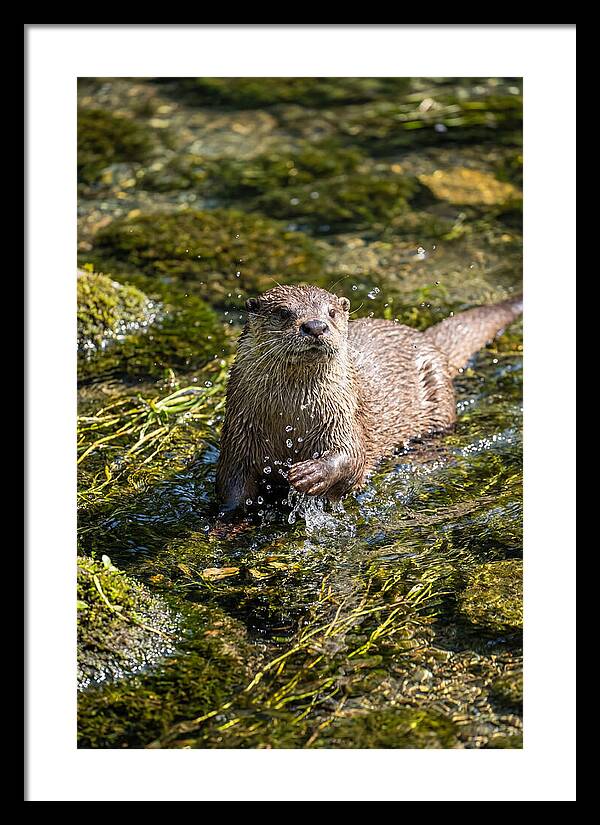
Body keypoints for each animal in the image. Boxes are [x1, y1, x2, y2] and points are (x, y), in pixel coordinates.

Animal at [216, 285, 522, 514]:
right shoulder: (238, 435)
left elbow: (352, 457)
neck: (291, 419)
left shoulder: (344, 417)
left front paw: (310, 474)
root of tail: (427, 340)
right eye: (283, 312)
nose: (315, 326)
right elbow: (231, 486)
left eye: (331, 312)